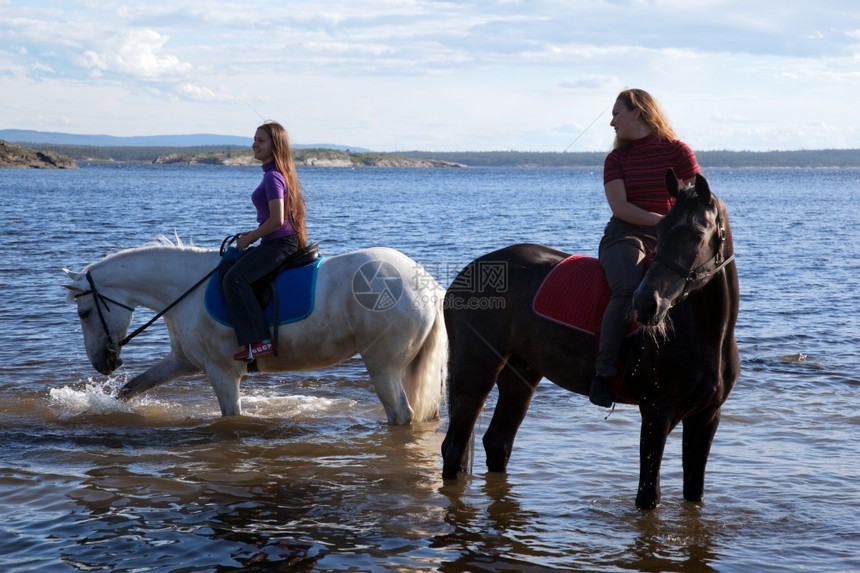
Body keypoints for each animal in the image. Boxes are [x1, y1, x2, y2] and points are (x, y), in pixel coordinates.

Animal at [62, 239, 444, 422]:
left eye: (84, 313)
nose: (103, 364)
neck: (186, 290)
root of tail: (426, 283)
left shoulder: (221, 371)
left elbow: (232, 414)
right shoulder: (184, 361)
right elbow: (131, 389)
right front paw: (100, 408)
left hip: (383, 364)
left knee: (401, 414)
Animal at [444, 170, 740, 510]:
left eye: (697, 233)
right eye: (661, 228)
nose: (645, 304)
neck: (707, 335)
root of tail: (464, 275)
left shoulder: (706, 419)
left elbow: (693, 492)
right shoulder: (656, 415)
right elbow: (648, 497)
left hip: (520, 376)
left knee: (497, 442)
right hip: (474, 374)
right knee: (454, 447)